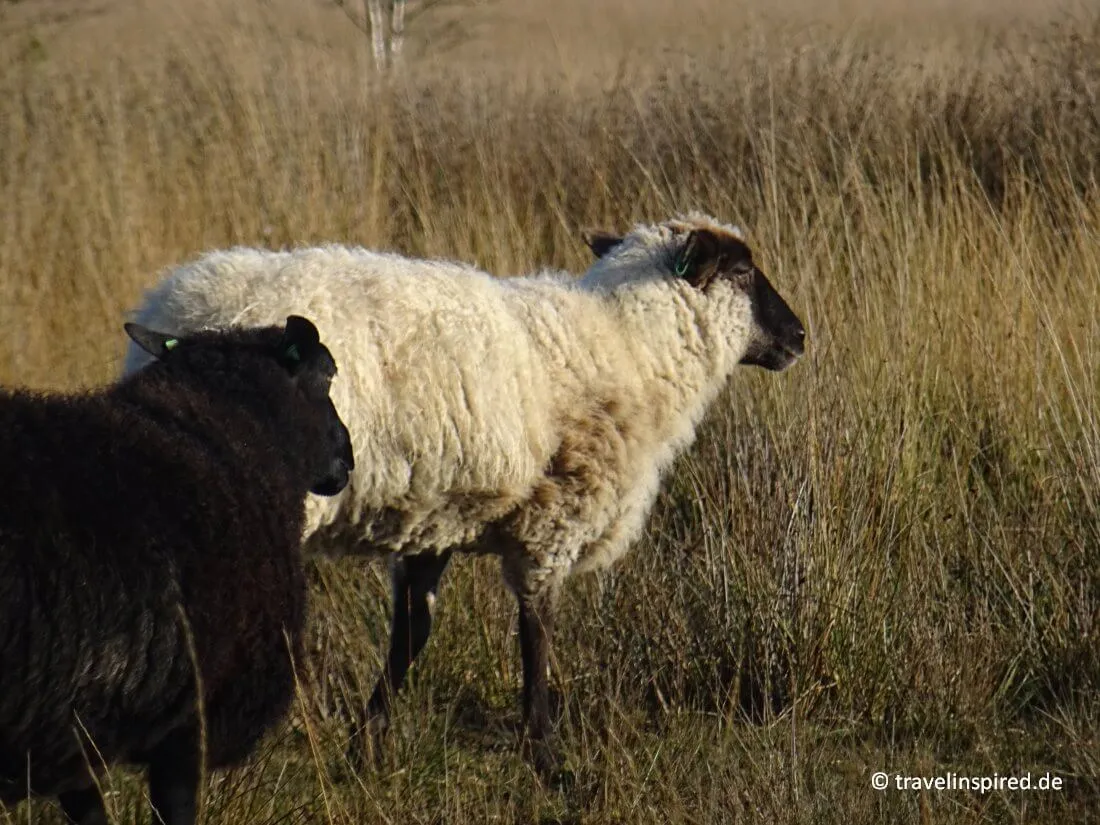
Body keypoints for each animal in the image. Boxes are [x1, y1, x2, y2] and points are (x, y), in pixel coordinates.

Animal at [121, 213, 806, 776]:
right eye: (743, 272)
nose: (800, 334)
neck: (627, 346)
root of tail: (181, 309)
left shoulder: (434, 518)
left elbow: (412, 632)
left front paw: (365, 752)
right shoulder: (551, 523)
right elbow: (536, 632)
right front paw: (546, 757)